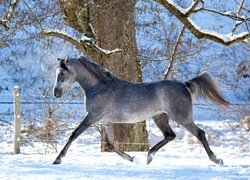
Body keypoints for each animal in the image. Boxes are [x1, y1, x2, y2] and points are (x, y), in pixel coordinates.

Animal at [53, 56, 229, 165]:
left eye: (61, 73)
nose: (56, 93)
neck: (99, 87)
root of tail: (184, 85)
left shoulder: (92, 117)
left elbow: (74, 134)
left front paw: (58, 159)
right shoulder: (104, 121)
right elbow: (110, 144)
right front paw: (131, 158)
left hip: (182, 118)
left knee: (200, 134)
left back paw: (217, 159)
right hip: (160, 117)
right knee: (170, 135)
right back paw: (148, 158)